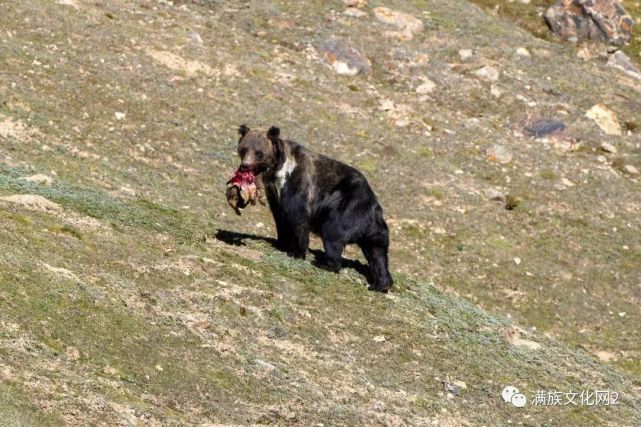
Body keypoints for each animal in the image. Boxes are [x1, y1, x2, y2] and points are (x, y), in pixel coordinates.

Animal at [236, 123, 390, 290]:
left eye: (258, 152)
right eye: (243, 149)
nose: (245, 166)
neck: (277, 170)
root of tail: (374, 207)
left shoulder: (297, 183)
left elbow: (297, 217)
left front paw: (297, 252)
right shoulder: (273, 192)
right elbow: (279, 217)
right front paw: (281, 243)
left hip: (346, 208)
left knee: (333, 232)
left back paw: (325, 263)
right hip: (374, 230)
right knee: (377, 253)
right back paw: (381, 283)